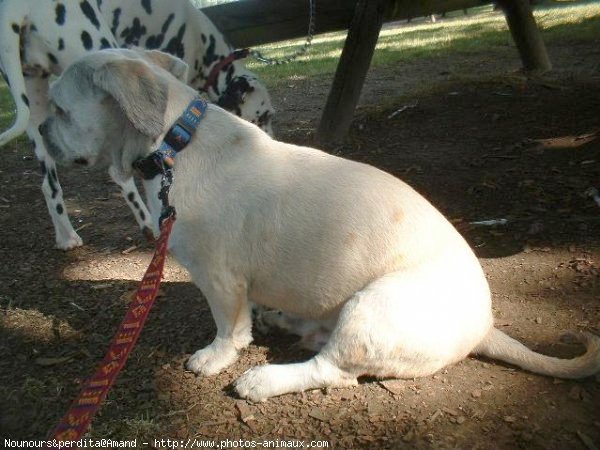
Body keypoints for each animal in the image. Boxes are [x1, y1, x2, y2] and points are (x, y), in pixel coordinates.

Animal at [0, 0, 274, 250]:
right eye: (264, 117)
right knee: (117, 174)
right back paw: (147, 224)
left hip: (34, 98)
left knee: (50, 185)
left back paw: (67, 237)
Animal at [38, 48, 600, 400]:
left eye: (60, 110)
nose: (39, 131)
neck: (175, 142)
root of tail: (485, 329)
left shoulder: (219, 279)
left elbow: (228, 329)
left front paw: (214, 358)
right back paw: (284, 321)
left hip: (370, 309)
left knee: (331, 370)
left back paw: (262, 382)